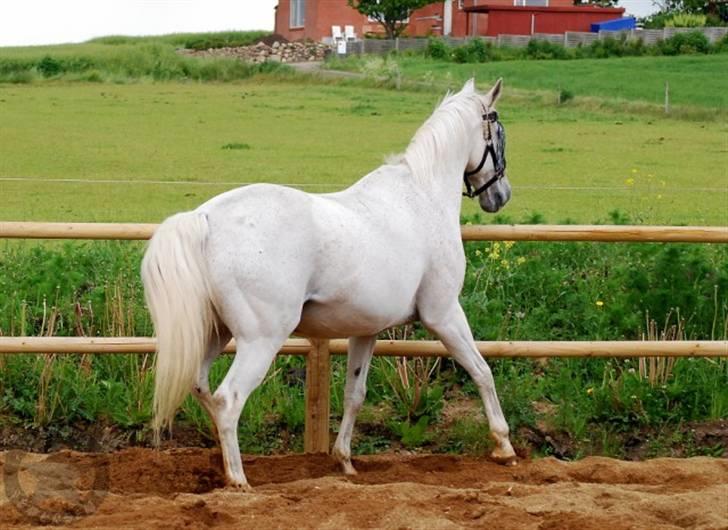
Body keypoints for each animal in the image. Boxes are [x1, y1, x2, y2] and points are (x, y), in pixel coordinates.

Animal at [142, 77, 516, 486]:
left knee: (202, 387)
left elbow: (355, 393)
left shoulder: (366, 331)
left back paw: (225, 468)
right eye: (499, 130)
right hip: (261, 340)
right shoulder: (444, 313)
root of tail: (205, 217)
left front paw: (345, 461)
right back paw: (239, 481)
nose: (501, 195)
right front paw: (504, 447)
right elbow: (482, 370)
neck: (421, 197)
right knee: (229, 400)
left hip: (216, 332)